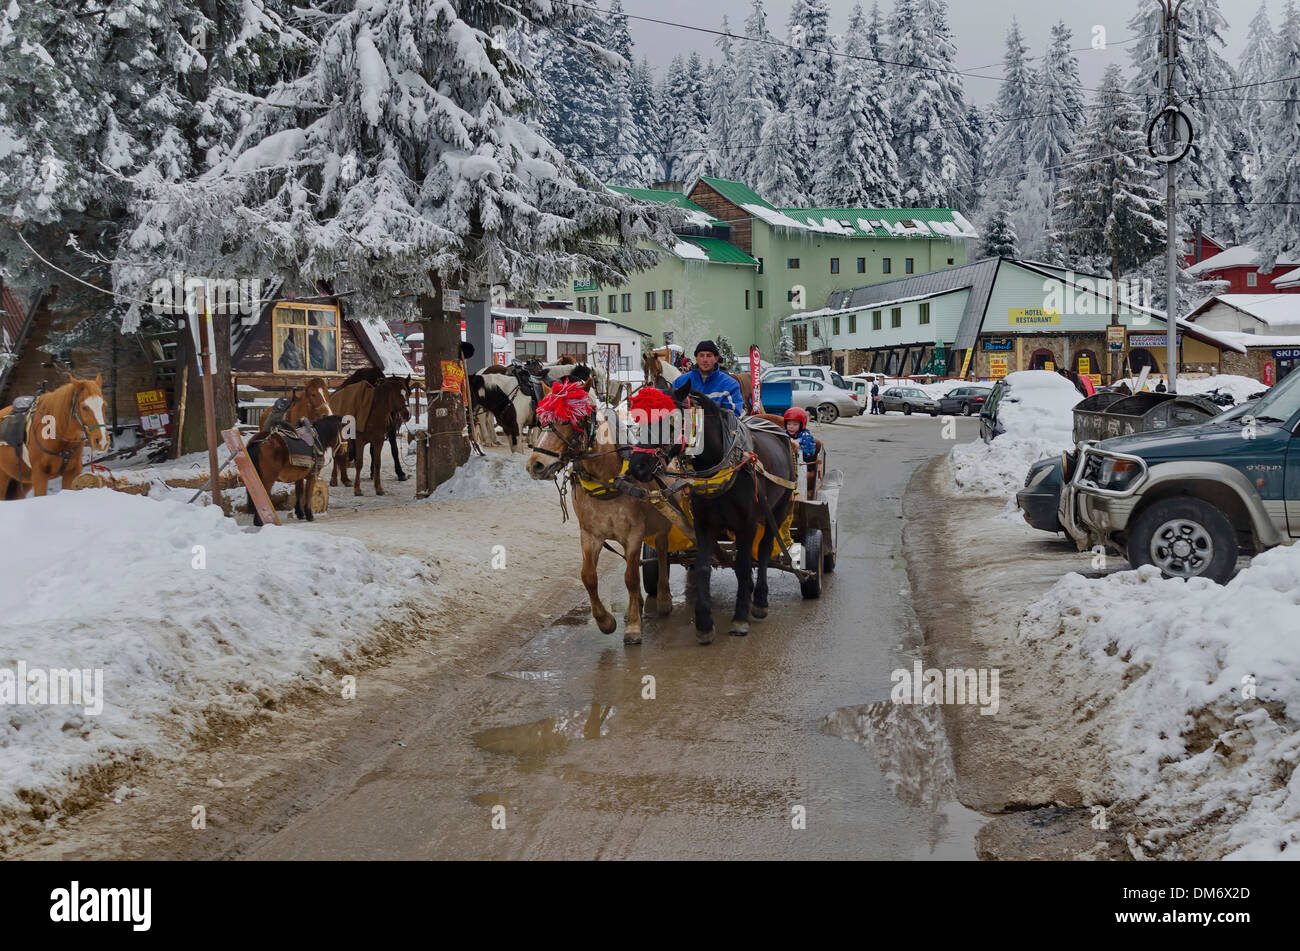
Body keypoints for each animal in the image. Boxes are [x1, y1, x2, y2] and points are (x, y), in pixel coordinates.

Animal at [525, 387, 676, 646]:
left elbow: (631, 578)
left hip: (663, 525)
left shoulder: (634, 534)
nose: (536, 464)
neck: (609, 479)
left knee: (662, 553)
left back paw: (664, 598)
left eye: (568, 420)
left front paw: (633, 627)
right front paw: (605, 621)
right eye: (542, 421)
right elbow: (588, 577)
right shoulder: (590, 534)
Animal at [624, 387, 795, 646]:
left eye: (671, 422)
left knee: (764, 550)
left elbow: (744, 565)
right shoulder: (704, 524)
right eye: (639, 422)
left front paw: (740, 618)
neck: (721, 465)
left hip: (778, 509)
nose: (637, 466)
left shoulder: (747, 524)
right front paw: (704, 623)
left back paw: (759, 599)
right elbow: (705, 567)